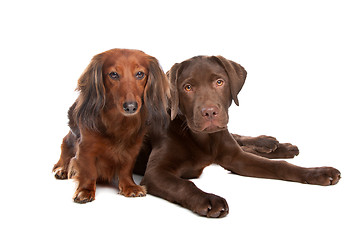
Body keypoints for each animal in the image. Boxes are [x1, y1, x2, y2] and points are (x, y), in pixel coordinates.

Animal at [52, 48, 169, 202]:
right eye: (113, 74)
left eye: (140, 74)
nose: (131, 107)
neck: (118, 122)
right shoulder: (86, 147)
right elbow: (88, 170)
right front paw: (85, 190)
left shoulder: (133, 148)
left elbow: (126, 168)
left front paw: (129, 186)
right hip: (69, 140)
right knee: (65, 154)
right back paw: (63, 170)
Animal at [138, 55, 340, 218]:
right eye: (187, 87)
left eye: (219, 82)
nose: (209, 112)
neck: (204, 139)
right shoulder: (155, 173)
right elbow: (184, 185)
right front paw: (208, 199)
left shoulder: (236, 157)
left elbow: (279, 166)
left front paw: (318, 172)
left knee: (241, 140)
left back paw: (275, 145)